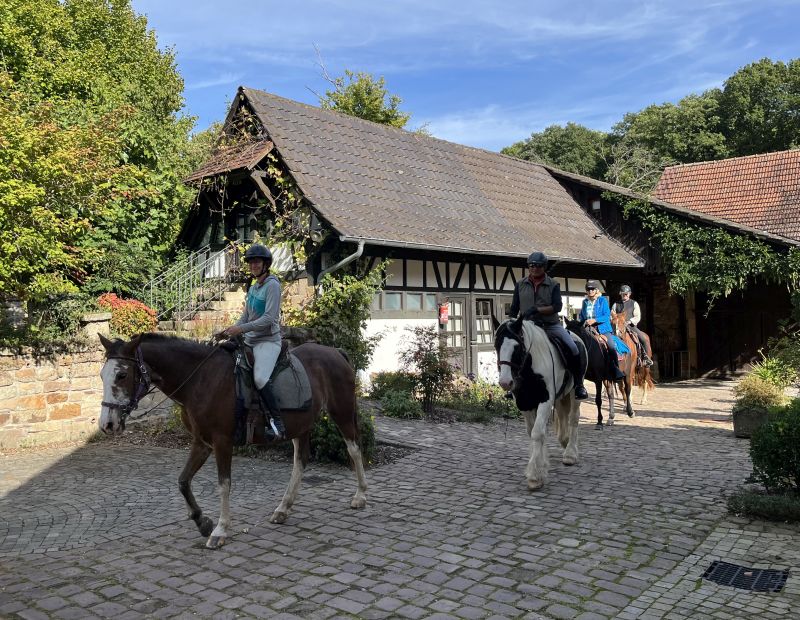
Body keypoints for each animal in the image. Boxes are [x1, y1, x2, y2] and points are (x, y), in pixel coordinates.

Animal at [97, 332, 368, 548]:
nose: (107, 424)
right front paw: (202, 521)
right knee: (300, 461)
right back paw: (283, 508)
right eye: (102, 375)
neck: (201, 379)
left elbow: (223, 484)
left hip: (342, 413)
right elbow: (183, 481)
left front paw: (220, 530)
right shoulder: (201, 442)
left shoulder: (222, 442)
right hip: (302, 426)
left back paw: (360, 496)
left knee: (354, 449)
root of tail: (334, 352)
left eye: (121, 374)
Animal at [494, 318, 580, 492]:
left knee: (573, 419)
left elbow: (537, 433)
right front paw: (541, 466)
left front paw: (535, 476)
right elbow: (534, 432)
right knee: (563, 416)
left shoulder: (545, 401)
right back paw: (564, 441)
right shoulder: (525, 404)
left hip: (575, 393)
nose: (505, 382)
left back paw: (570, 454)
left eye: (517, 347)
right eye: (496, 345)